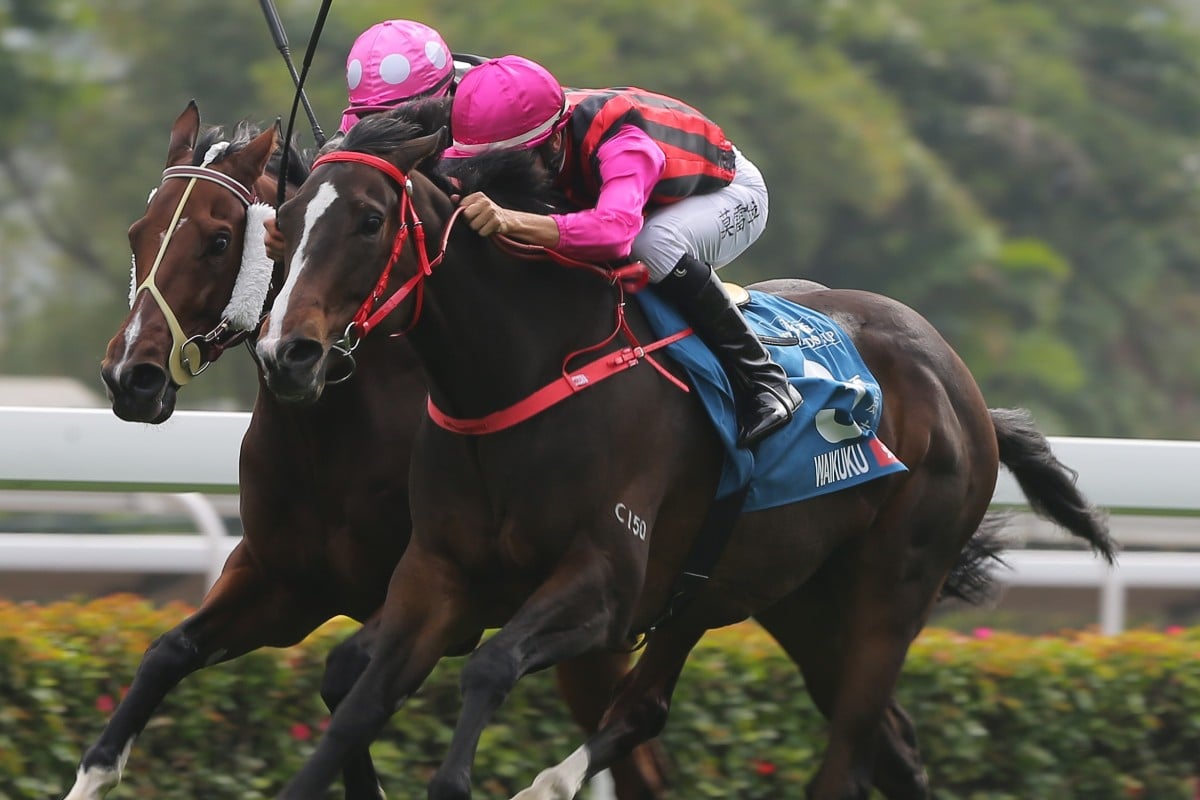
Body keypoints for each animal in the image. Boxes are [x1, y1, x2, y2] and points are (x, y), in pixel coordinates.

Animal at [79, 103, 672, 800]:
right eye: (136, 233)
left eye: (221, 240)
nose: (130, 377)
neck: (332, 432)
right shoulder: (285, 582)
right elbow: (166, 654)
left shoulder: (447, 600)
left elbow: (346, 683)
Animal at [250, 107, 1113, 800]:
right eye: (282, 222)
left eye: (369, 220)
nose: (287, 354)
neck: (529, 370)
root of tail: (961, 385)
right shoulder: (440, 574)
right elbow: (353, 703)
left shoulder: (604, 582)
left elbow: (490, 667)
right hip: (780, 589)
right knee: (801, 732)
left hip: (892, 588)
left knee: (846, 759)